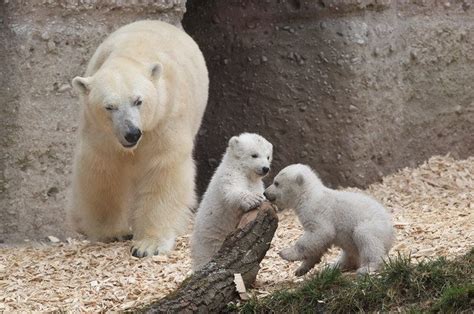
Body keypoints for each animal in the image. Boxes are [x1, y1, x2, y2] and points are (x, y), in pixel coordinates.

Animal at [69, 20, 207, 258]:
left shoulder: (165, 118)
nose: (132, 133)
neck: (131, 53)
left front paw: (148, 245)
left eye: (138, 101)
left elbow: (163, 170)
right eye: (109, 107)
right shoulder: (101, 132)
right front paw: (112, 232)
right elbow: (104, 169)